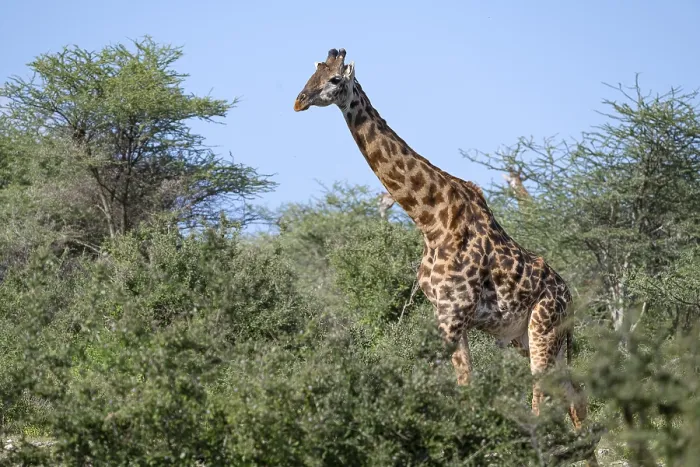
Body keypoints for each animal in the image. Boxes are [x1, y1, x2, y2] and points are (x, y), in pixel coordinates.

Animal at [293, 48, 596, 464]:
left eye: (335, 79)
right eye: (311, 74)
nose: (299, 101)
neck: (428, 217)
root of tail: (570, 297)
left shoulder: (454, 314)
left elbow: (466, 389)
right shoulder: (444, 313)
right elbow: (462, 385)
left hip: (543, 329)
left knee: (542, 399)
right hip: (530, 339)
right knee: (575, 397)